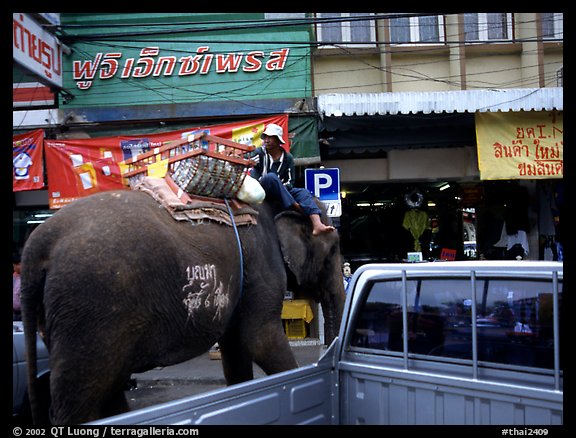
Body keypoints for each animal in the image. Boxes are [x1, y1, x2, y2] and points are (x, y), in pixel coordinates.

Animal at [21, 187, 346, 424]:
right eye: (333, 251)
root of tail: (36, 245)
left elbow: (236, 349)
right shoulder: (260, 269)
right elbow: (259, 340)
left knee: (105, 388)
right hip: (89, 308)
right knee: (82, 395)